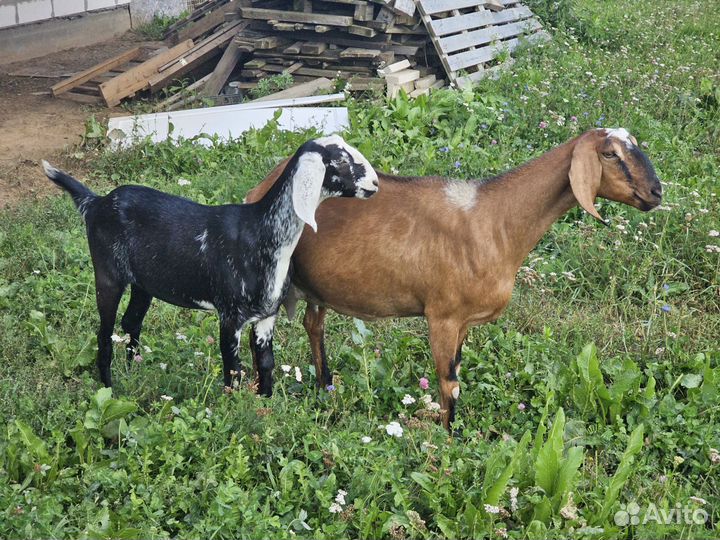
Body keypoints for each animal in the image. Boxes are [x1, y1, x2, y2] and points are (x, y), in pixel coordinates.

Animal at [42, 135, 379, 393]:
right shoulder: (229, 316)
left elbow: (265, 366)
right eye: (341, 161)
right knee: (104, 333)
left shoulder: (266, 317)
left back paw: (132, 370)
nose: (375, 183)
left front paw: (265, 407)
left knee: (131, 322)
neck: (259, 230)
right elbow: (233, 370)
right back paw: (110, 388)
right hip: (107, 275)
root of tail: (96, 203)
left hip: (143, 283)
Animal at [244, 128, 662, 430]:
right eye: (610, 154)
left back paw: (325, 387)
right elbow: (449, 383)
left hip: (316, 288)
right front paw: (448, 440)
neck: (495, 221)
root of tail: (260, 187)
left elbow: (457, 371)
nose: (656, 192)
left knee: (314, 326)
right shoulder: (441, 316)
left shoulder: (464, 322)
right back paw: (259, 400)